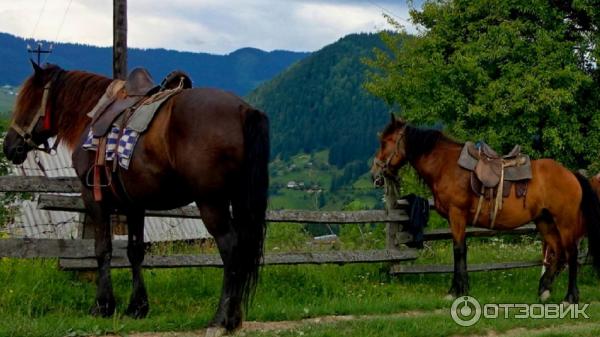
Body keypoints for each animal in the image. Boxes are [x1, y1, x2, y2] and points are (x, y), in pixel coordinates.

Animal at [2, 61, 270, 330]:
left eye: (28, 100)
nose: (9, 146)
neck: (93, 112)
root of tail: (244, 110)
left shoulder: (94, 199)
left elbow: (103, 249)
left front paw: (103, 305)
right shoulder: (134, 205)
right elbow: (135, 251)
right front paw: (137, 307)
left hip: (211, 203)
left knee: (230, 247)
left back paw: (221, 318)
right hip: (238, 201)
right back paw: (234, 317)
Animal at [372, 115, 600, 302]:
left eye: (386, 142)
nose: (375, 174)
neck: (446, 166)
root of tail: (571, 174)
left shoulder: (457, 215)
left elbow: (458, 250)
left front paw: (455, 291)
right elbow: (462, 250)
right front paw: (463, 289)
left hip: (565, 222)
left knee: (570, 254)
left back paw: (570, 297)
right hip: (544, 221)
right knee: (558, 252)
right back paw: (544, 289)